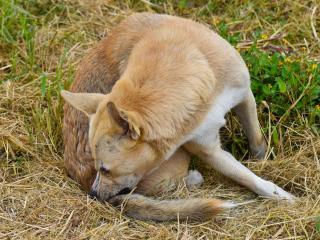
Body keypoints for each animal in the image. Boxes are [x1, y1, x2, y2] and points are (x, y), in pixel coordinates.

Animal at [62, 12, 296, 220]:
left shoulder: (244, 96)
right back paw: (193, 178)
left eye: (105, 170)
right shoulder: (208, 150)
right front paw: (282, 196)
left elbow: (257, 142)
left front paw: (264, 163)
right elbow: (247, 178)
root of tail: (83, 179)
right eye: (98, 168)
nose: (93, 195)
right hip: (178, 160)